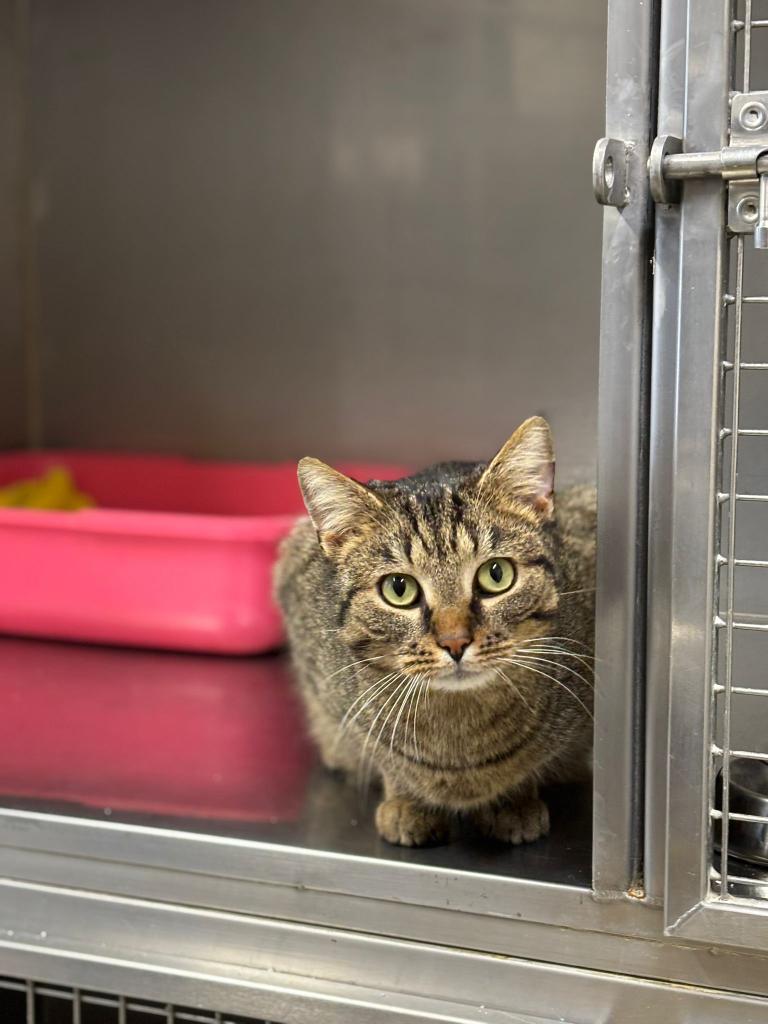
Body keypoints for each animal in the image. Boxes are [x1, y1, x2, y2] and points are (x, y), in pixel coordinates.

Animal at [274, 417, 595, 847]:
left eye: (496, 574)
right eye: (399, 589)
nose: (455, 641)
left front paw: (515, 802)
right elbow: (382, 755)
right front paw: (406, 801)